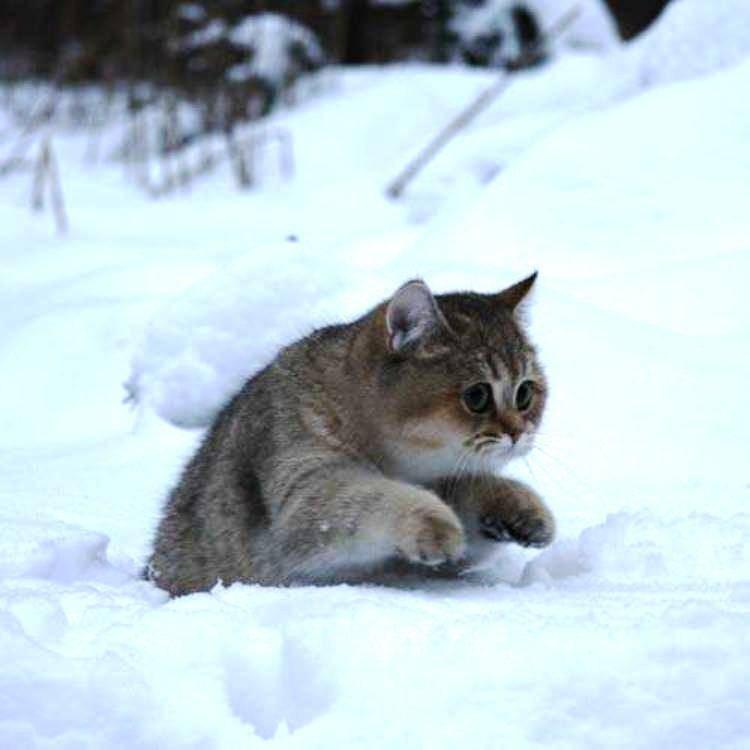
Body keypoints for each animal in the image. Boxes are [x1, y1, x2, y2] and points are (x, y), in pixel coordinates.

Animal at [148, 274, 560, 596]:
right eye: (476, 396)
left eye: (525, 393)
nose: (519, 432)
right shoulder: (302, 487)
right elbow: (374, 495)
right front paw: (434, 523)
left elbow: (472, 489)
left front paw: (519, 508)